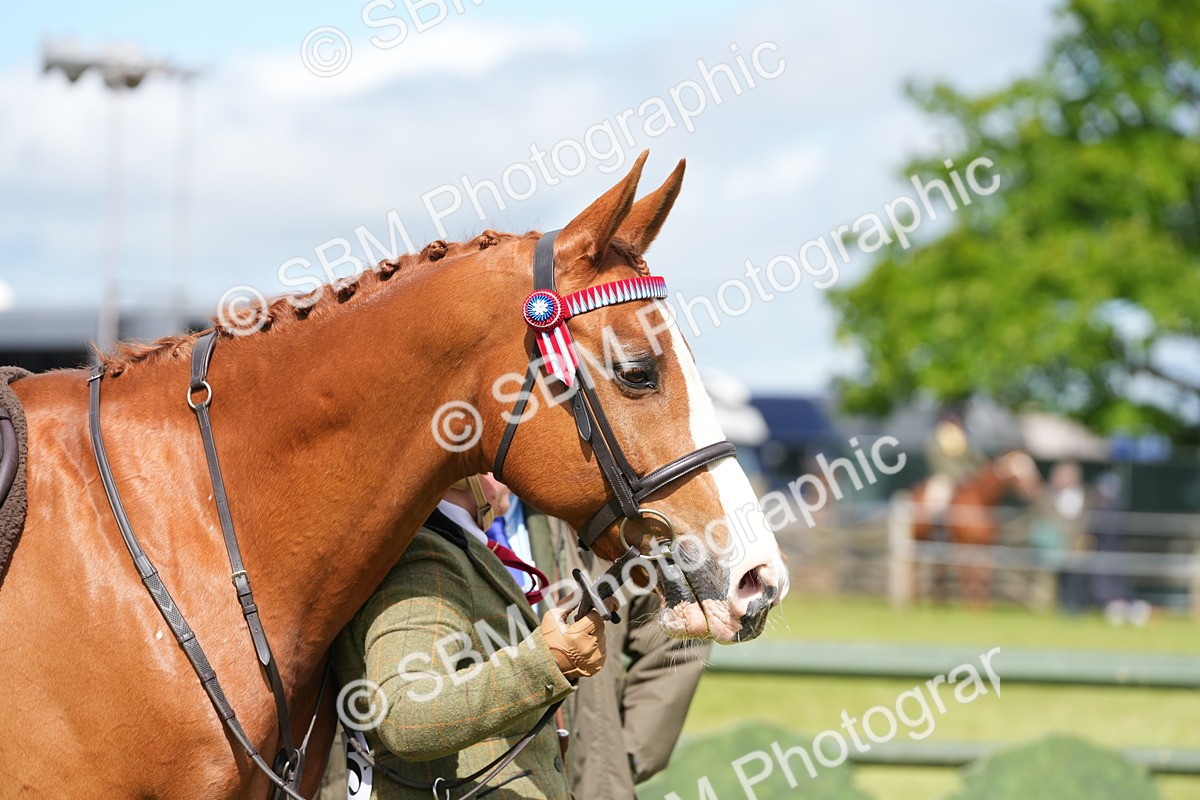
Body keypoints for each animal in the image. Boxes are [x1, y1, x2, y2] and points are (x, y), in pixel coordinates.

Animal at [908, 450, 1042, 607]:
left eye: (1031, 466)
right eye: (1016, 469)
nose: (1033, 489)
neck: (981, 502)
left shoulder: (987, 545)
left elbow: (984, 572)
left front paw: (983, 606)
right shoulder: (964, 544)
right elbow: (968, 571)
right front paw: (968, 603)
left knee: (939, 568)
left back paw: (940, 602)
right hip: (919, 539)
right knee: (917, 565)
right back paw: (917, 599)